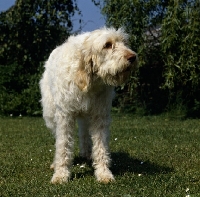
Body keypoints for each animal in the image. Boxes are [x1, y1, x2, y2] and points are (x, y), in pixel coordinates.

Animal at [39, 27, 138, 183]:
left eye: (124, 42)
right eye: (107, 45)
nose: (133, 57)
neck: (89, 79)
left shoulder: (99, 117)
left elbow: (101, 146)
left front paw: (103, 173)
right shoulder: (65, 116)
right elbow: (63, 145)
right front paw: (61, 174)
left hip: (85, 116)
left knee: (84, 133)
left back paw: (87, 153)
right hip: (51, 114)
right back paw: (56, 163)